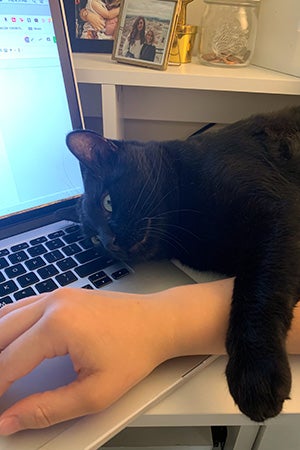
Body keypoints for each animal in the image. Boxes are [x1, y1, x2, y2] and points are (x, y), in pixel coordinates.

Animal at [67, 106, 300, 422]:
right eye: (93, 239)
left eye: (108, 203)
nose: (110, 242)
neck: (185, 229)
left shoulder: (278, 213)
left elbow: (258, 290)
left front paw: (256, 374)